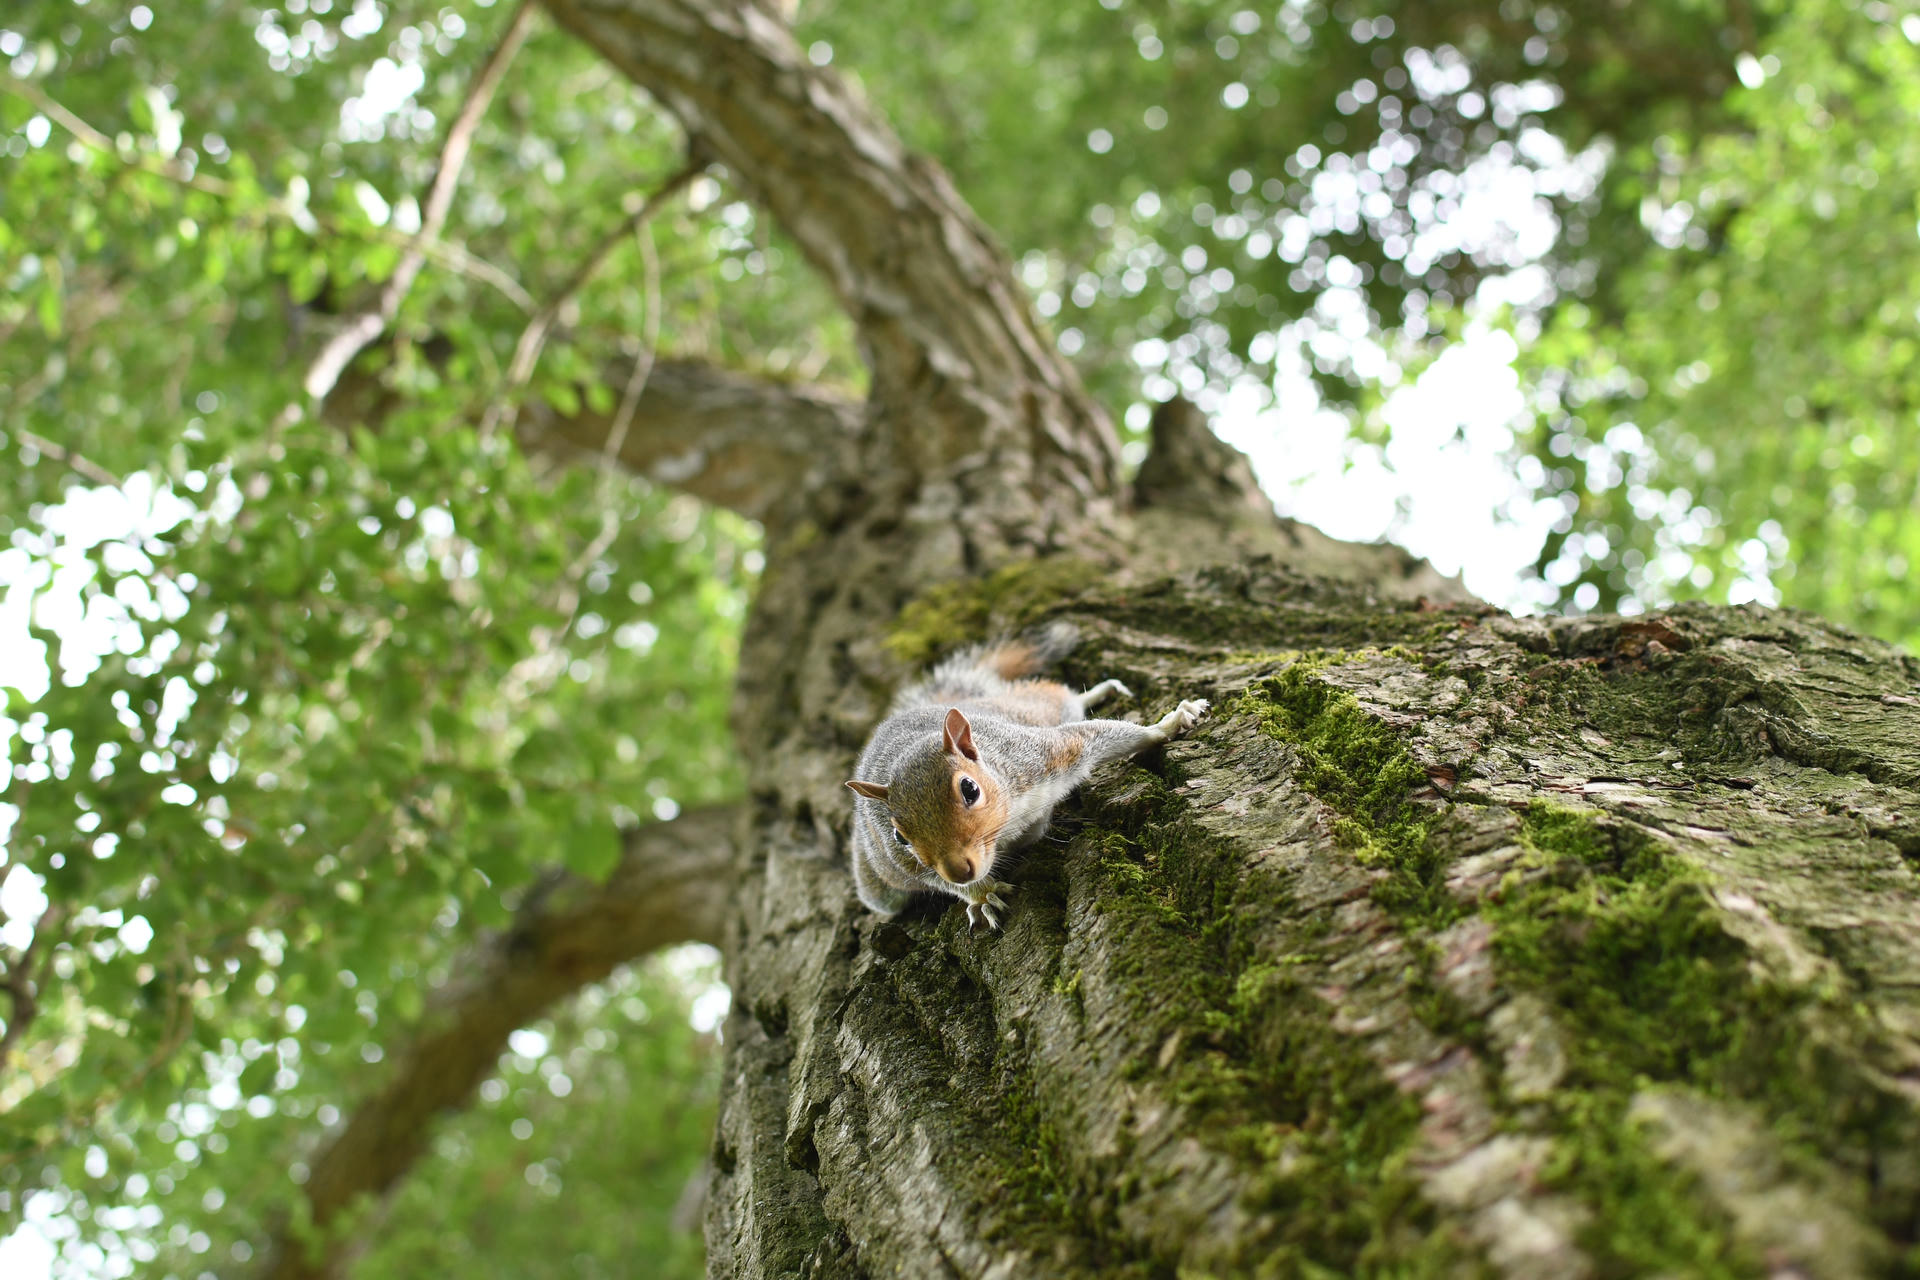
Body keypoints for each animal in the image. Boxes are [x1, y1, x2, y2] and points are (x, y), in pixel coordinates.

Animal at [845, 624, 1210, 930]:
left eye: (970, 789)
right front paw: (982, 894)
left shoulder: (1040, 757)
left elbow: (1101, 734)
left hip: (1034, 708)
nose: (960, 871)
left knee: (1063, 697)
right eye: (899, 837)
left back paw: (1097, 692)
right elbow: (936, 880)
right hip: (879, 888)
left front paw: (1169, 724)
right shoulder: (903, 863)